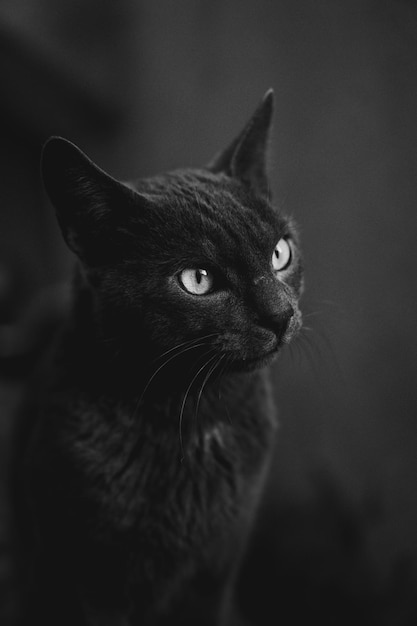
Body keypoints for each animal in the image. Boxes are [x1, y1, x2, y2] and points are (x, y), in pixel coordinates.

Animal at [14, 89, 302, 624]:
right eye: (198, 280)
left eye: (280, 253)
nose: (279, 314)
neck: (189, 420)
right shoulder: (90, 583)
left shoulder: (215, 579)